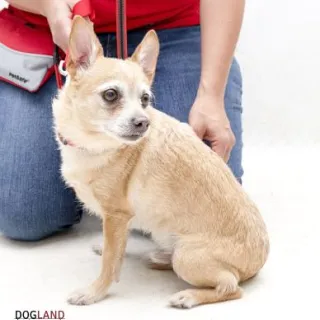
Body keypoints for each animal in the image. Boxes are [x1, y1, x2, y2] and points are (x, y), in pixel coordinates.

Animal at [52, 16, 270, 308]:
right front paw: (107, 248)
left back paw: (188, 296)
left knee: (231, 286)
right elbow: (115, 247)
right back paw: (159, 256)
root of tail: (258, 262)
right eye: (111, 95)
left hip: (188, 258)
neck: (94, 144)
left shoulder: (116, 215)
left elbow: (110, 264)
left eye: (145, 100)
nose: (143, 122)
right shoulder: (119, 220)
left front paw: (94, 292)